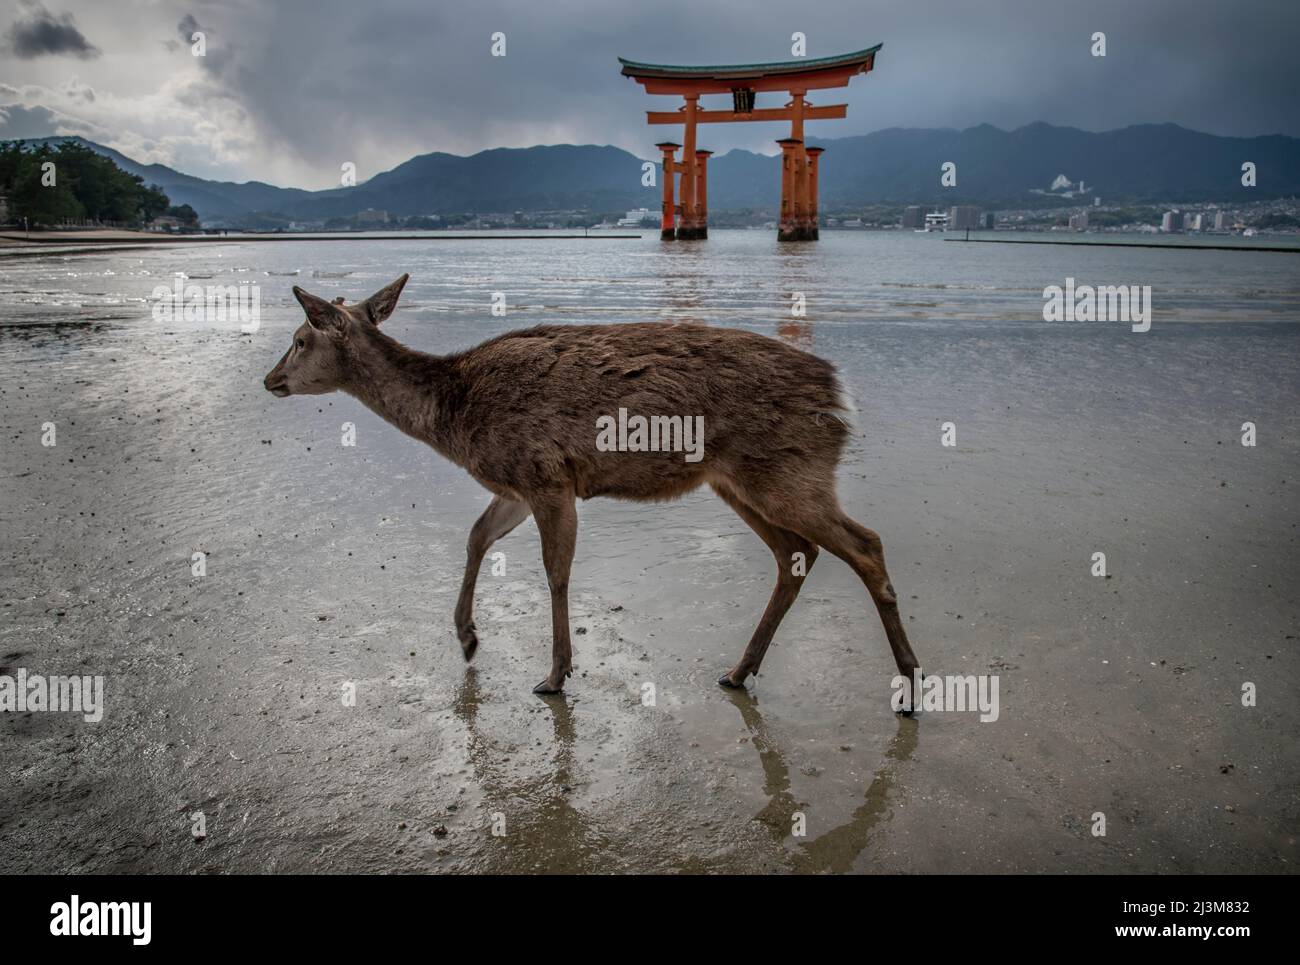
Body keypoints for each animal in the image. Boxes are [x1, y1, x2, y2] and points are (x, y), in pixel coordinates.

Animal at [263, 275, 920, 697]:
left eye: (299, 339)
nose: (269, 379)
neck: (455, 416)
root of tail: (840, 395)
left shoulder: (547, 475)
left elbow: (555, 570)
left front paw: (555, 676)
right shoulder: (517, 485)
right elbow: (476, 537)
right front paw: (468, 638)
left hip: (789, 473)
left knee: (865, 544)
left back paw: (911, 677)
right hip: (740, 482)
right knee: (796, 554)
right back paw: (739, 671)